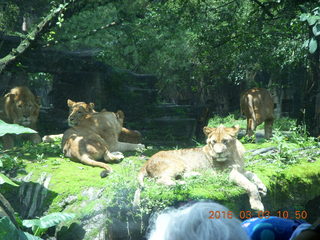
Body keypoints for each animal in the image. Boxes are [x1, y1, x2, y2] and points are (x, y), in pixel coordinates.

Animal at [134, 124, 266, 211]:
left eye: (225, 141)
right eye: (213, 142)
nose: (218, 153)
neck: (234, 155)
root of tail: (147, 161)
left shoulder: (241, 170)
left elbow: (253, 175)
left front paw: (262, 187)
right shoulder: (228, 173)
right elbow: (249, 184)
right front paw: (257, 204)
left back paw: (195, 176)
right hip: (177, 163)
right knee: (161, 180)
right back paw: (181, 183)